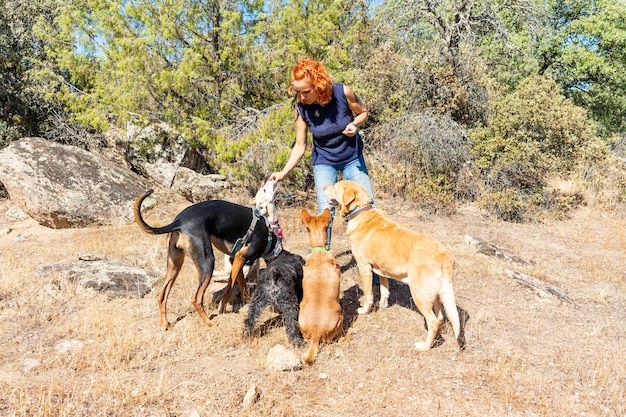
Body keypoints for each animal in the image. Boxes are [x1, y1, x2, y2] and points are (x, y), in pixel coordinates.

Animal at [135, 180, 280, 330]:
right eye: (264, 189)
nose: (274, 180)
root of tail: (178, 222)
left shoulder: (235, 259)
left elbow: (241, 285)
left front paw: (245, 302)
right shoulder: (240, 258)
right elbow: (230, 288)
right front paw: (224, 308)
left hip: (175, 265)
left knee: (162, 296)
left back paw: (165, 323)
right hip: (207, 263)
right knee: (196, 299)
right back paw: (209, 323)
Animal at [322, 180, 458, 352]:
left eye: (335, 186)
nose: (323, 187)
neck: (361, 212)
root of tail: (445, 255)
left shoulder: (365, 268)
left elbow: (368, 295)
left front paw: (364, 310)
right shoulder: (381, 269)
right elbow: (384, 290)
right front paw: (384, 305)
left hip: (419, 294)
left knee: (433, 322)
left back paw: (425, 346)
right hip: (436, 294)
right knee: (440, 318)